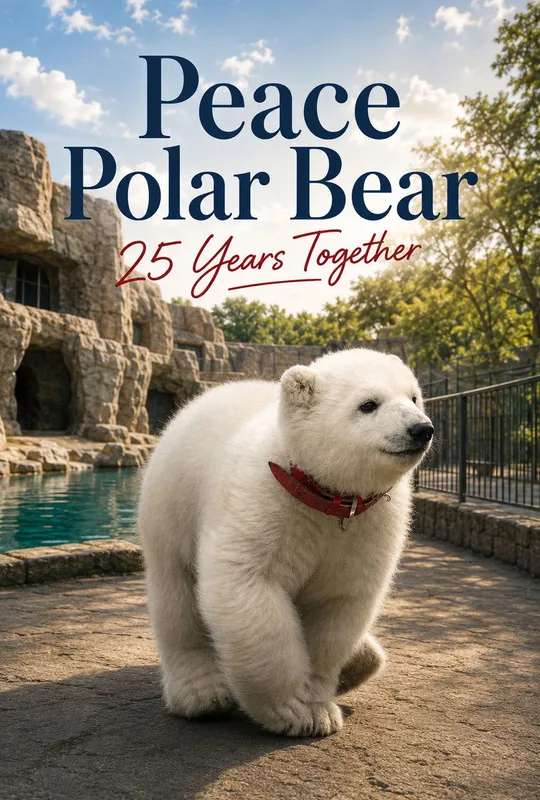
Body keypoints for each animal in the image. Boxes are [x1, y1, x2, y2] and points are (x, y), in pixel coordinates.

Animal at [138, 348, 433, 737]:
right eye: (368, 404)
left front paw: (320, 706)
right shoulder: (263, 506)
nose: (421, 429)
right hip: (170, 511)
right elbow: (250, 589)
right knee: (177, 603)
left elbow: (337, 606)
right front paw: (293, 710)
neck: (319, 495)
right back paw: (202, 693)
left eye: (413, 397)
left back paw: (362, 661)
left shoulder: (366, 527)